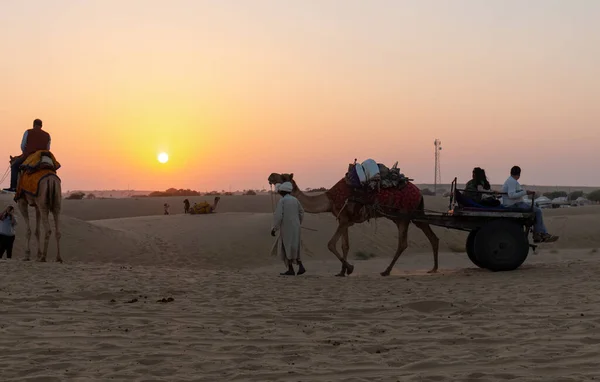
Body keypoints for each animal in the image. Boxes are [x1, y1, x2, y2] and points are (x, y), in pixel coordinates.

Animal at [270, 173, 438, 278]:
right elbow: (345, 245)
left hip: (403, 216)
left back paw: (386, 271)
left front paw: (350, 269)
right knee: (431, 236)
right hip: (412, 215)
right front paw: (342, 272)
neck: (329, 200)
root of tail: (419, 193)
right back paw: (434, 268)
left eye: (284, 176)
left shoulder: (344, 219)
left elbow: (331, 244)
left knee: (403, 243)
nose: (271, 175)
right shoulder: (345, 220)